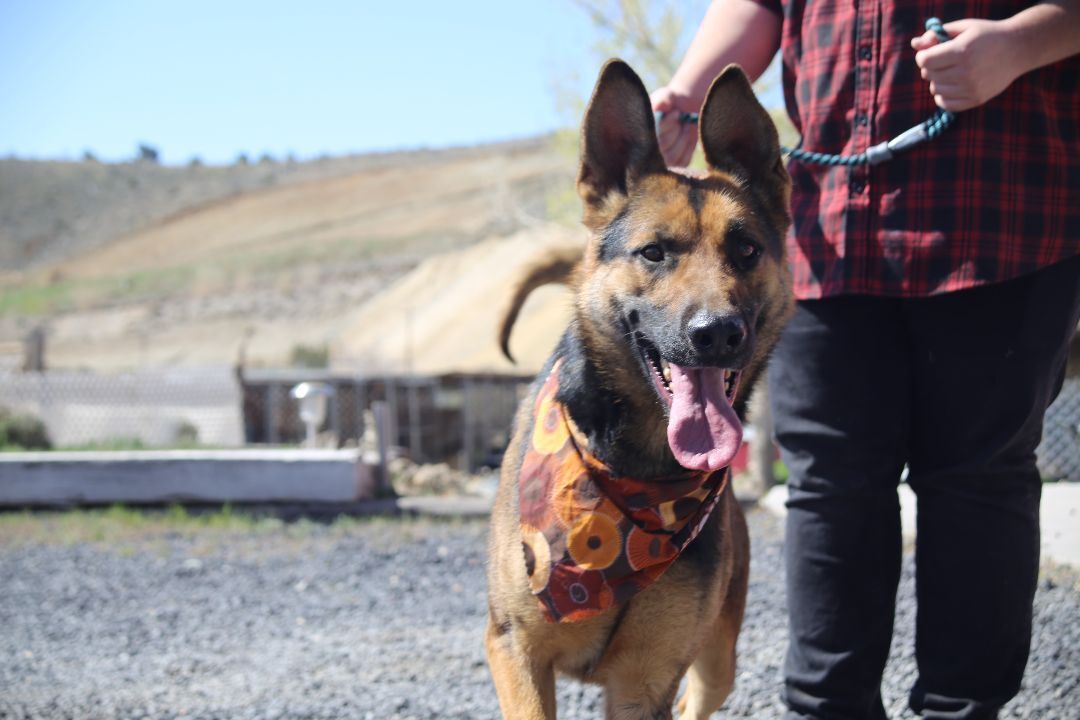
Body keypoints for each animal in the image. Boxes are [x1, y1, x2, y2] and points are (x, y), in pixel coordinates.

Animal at [486, 62, 790, 720]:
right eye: (654, 252)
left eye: (746, 249)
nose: (717, 333)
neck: (635, 474)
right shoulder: (515, 648)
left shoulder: (646, 680)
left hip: (716, 663)